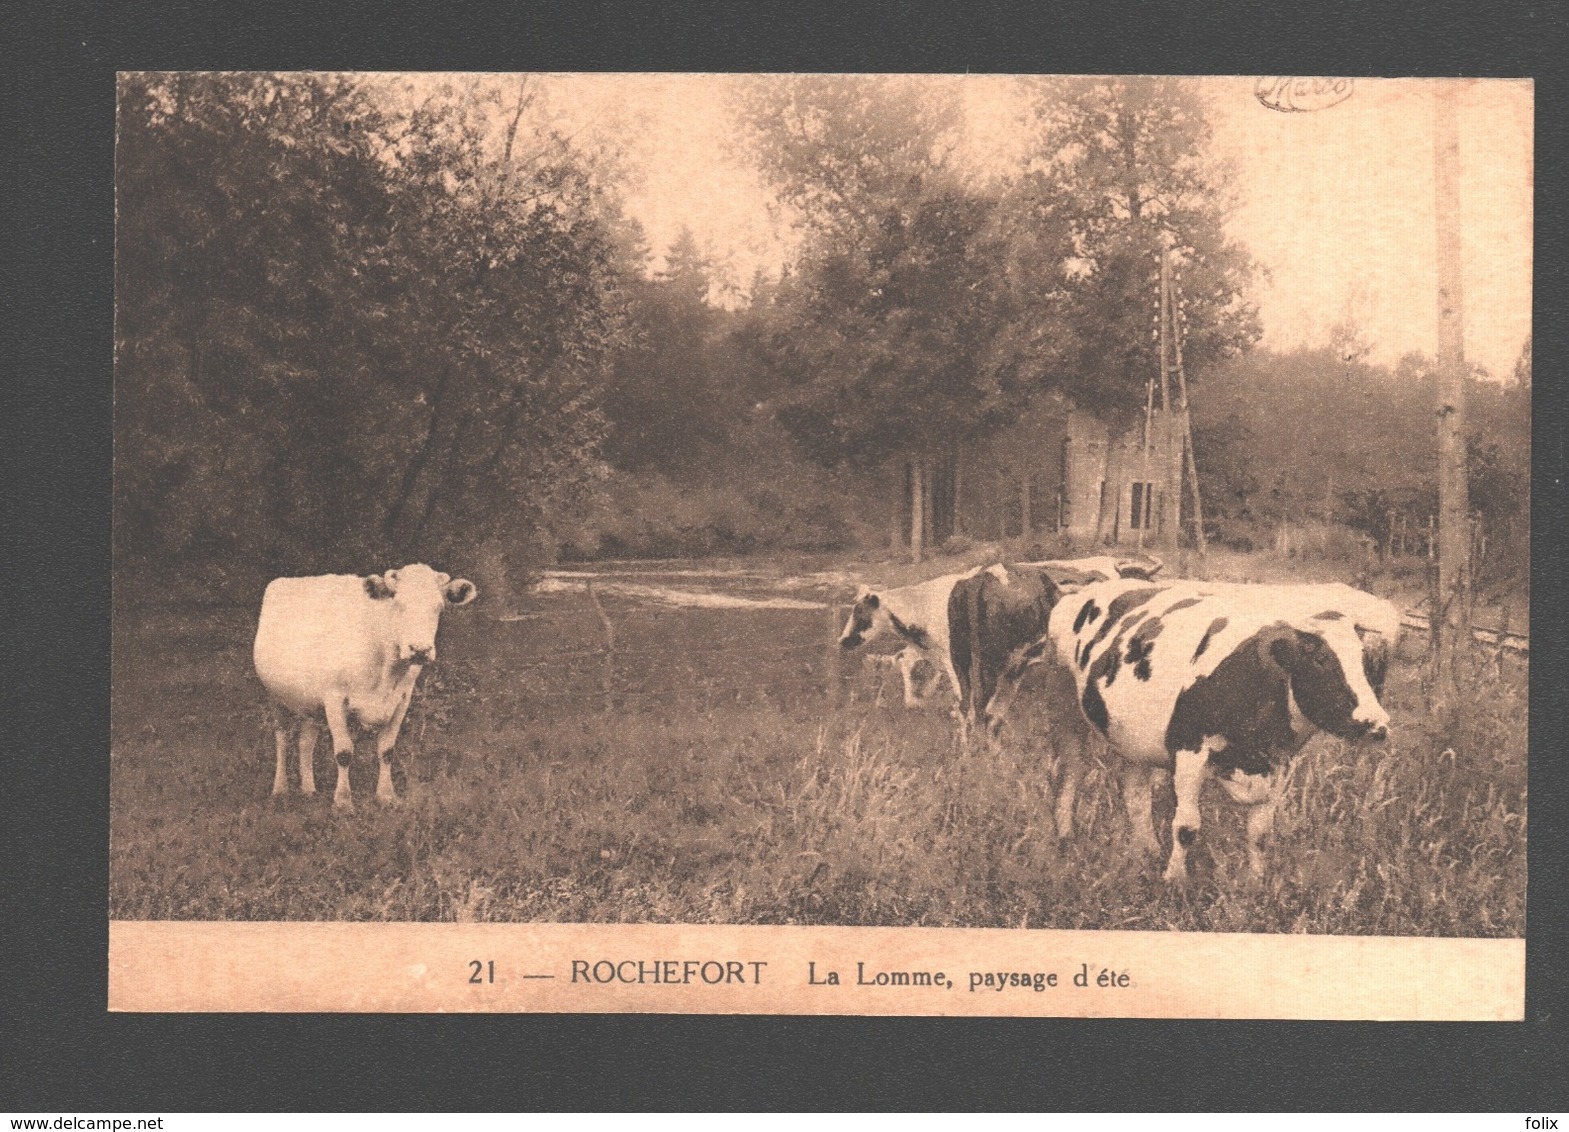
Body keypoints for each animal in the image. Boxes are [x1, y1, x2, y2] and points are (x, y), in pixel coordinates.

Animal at [251, 562, 476, 810]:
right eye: (398, 604)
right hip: (274, 696)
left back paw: (309, 790)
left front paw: (387, 796)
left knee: (306, 742)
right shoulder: (334, 698)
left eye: (439, 607)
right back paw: (280, 789)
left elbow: (387, 750)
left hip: (311, 703)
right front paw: (343, 802)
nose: (420, 649)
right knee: (282, 740)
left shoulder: (402, 699)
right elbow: (343, 752)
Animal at [1048, 577, 1393, 879]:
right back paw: (1065, 837)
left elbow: (1260, 833)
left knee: (1135, 793)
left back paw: (1145, 851)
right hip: (1065, 707)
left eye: (1366, 660)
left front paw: (1256, 883)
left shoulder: (1280, 763)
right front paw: (1175, 880)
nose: (1377, 723)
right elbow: (1186, 826)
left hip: (1132, 737)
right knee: (1072, 772)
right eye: (1319, 659)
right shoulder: (1190, 750)